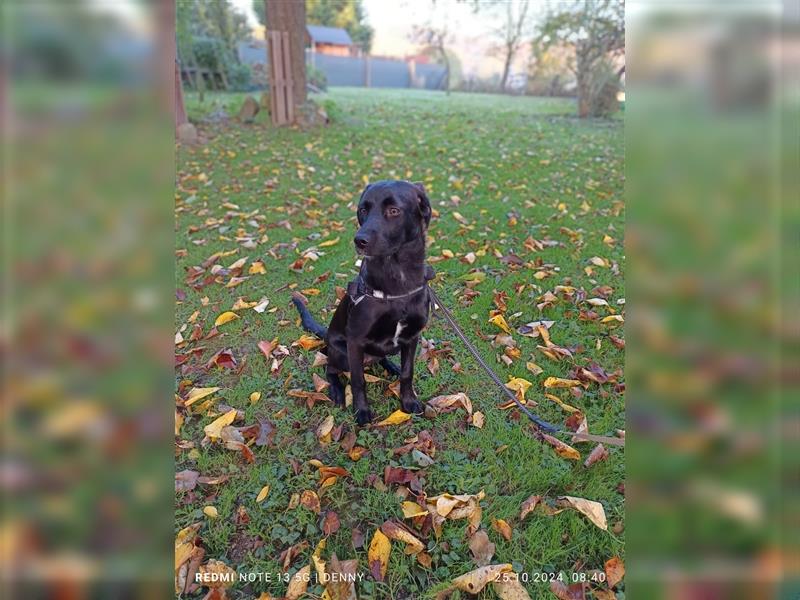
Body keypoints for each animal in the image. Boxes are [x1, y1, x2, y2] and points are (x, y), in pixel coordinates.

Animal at [292, 180, 432, 424]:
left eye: (393, 211)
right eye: (363, 210)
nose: (359, 241)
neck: (397, 281)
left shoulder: (412, 336)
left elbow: (408, 372)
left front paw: (408, 401)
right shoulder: (355, 341)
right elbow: (359, 381)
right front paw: (362, 411)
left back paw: (392, 367)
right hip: (341, 352)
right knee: (330, 368)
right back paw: (337, 390)